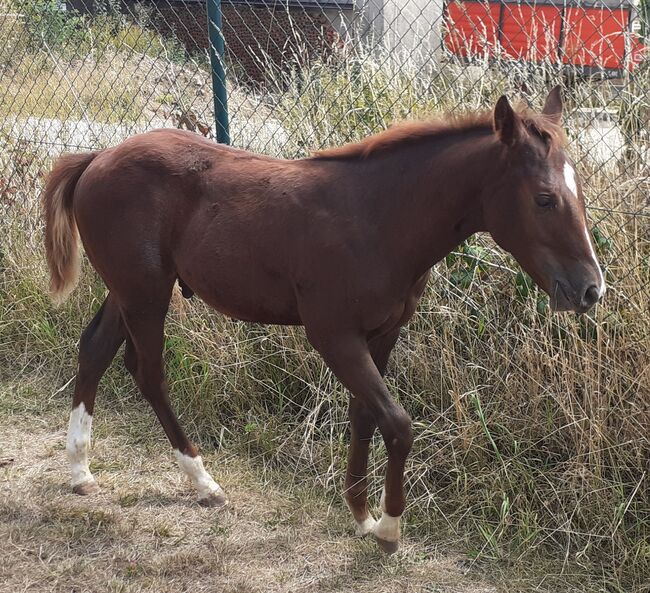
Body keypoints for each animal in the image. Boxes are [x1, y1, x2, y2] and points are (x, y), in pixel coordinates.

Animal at [44, 89, 604, 556]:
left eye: (578, 191)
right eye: (544, 198)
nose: (590, 289)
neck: (377, 217)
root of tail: (96, 159)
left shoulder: (382, 333)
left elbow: (365, 417)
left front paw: (360, 513)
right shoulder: (333, 336)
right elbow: (398, 424)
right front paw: (388, 529)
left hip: (129, 292)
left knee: (96, 349)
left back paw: (81, 470)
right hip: (144, 294)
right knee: (149, 371)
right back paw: (202, 482)